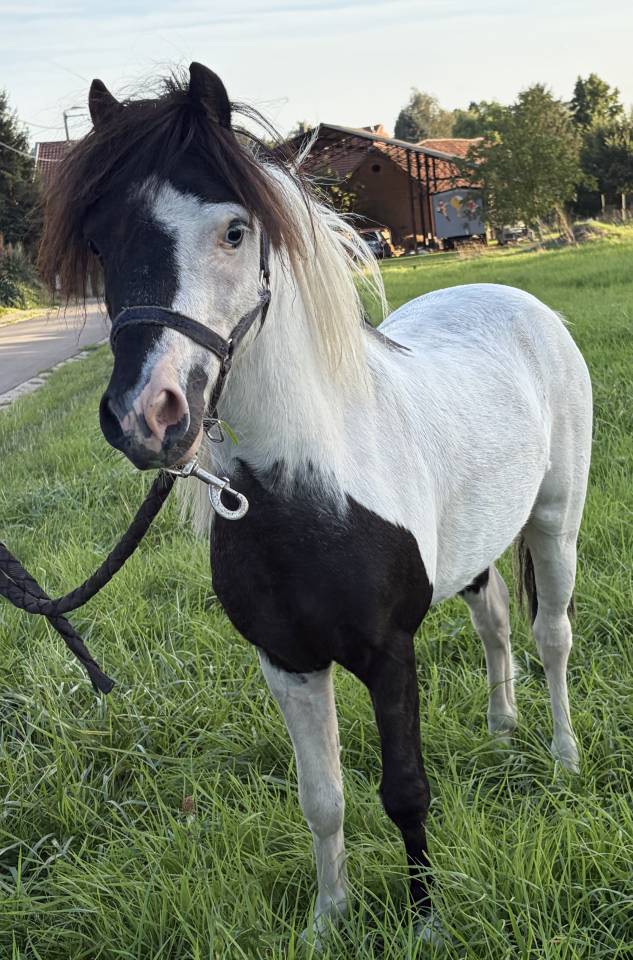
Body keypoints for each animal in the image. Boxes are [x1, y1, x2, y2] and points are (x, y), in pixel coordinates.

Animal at [39, 62, 593, 946]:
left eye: (234, 231)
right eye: (99, 238)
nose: (146, 416)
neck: (308, 489)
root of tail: (513, 296)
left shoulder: (388, 655)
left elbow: (404, 793)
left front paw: (428, 925)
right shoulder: (287, 663)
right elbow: (322, 800)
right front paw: (327, 922)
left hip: (554, 524)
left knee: (551, 637)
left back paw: (564, 756)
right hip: (477, 550)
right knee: (495, 621)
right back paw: (503, 730)